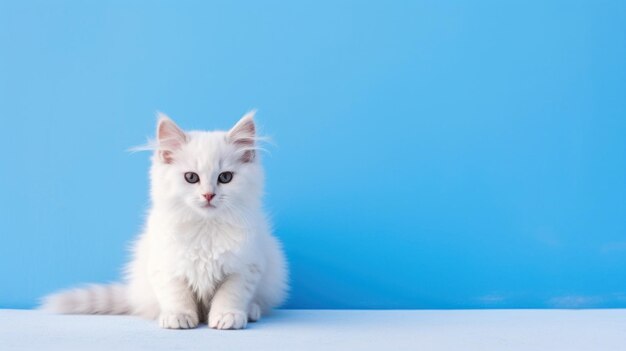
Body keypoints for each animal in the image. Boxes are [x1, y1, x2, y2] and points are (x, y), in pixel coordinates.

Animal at [41, 112, 288, 330]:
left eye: (225, 178)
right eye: (191, 177)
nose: (208, 195)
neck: (205, 227)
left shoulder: (245, 267)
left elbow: (230, 295)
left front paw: (227, 316)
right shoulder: (165, 265)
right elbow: (177, 295)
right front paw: (178, 317)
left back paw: (251, 311)